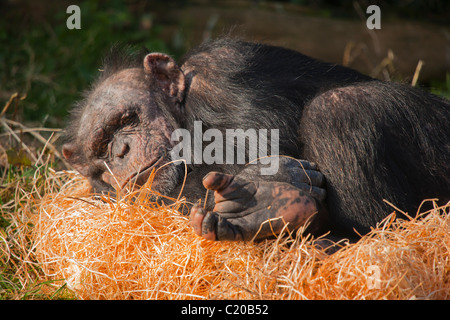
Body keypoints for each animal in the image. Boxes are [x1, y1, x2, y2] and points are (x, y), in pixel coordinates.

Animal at [60, 37, 450, 241]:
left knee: (340, 110)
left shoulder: (223, 77)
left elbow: (269, 145)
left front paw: (260, 197)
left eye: (128, 119)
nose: (120, 150)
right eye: (100, 147)